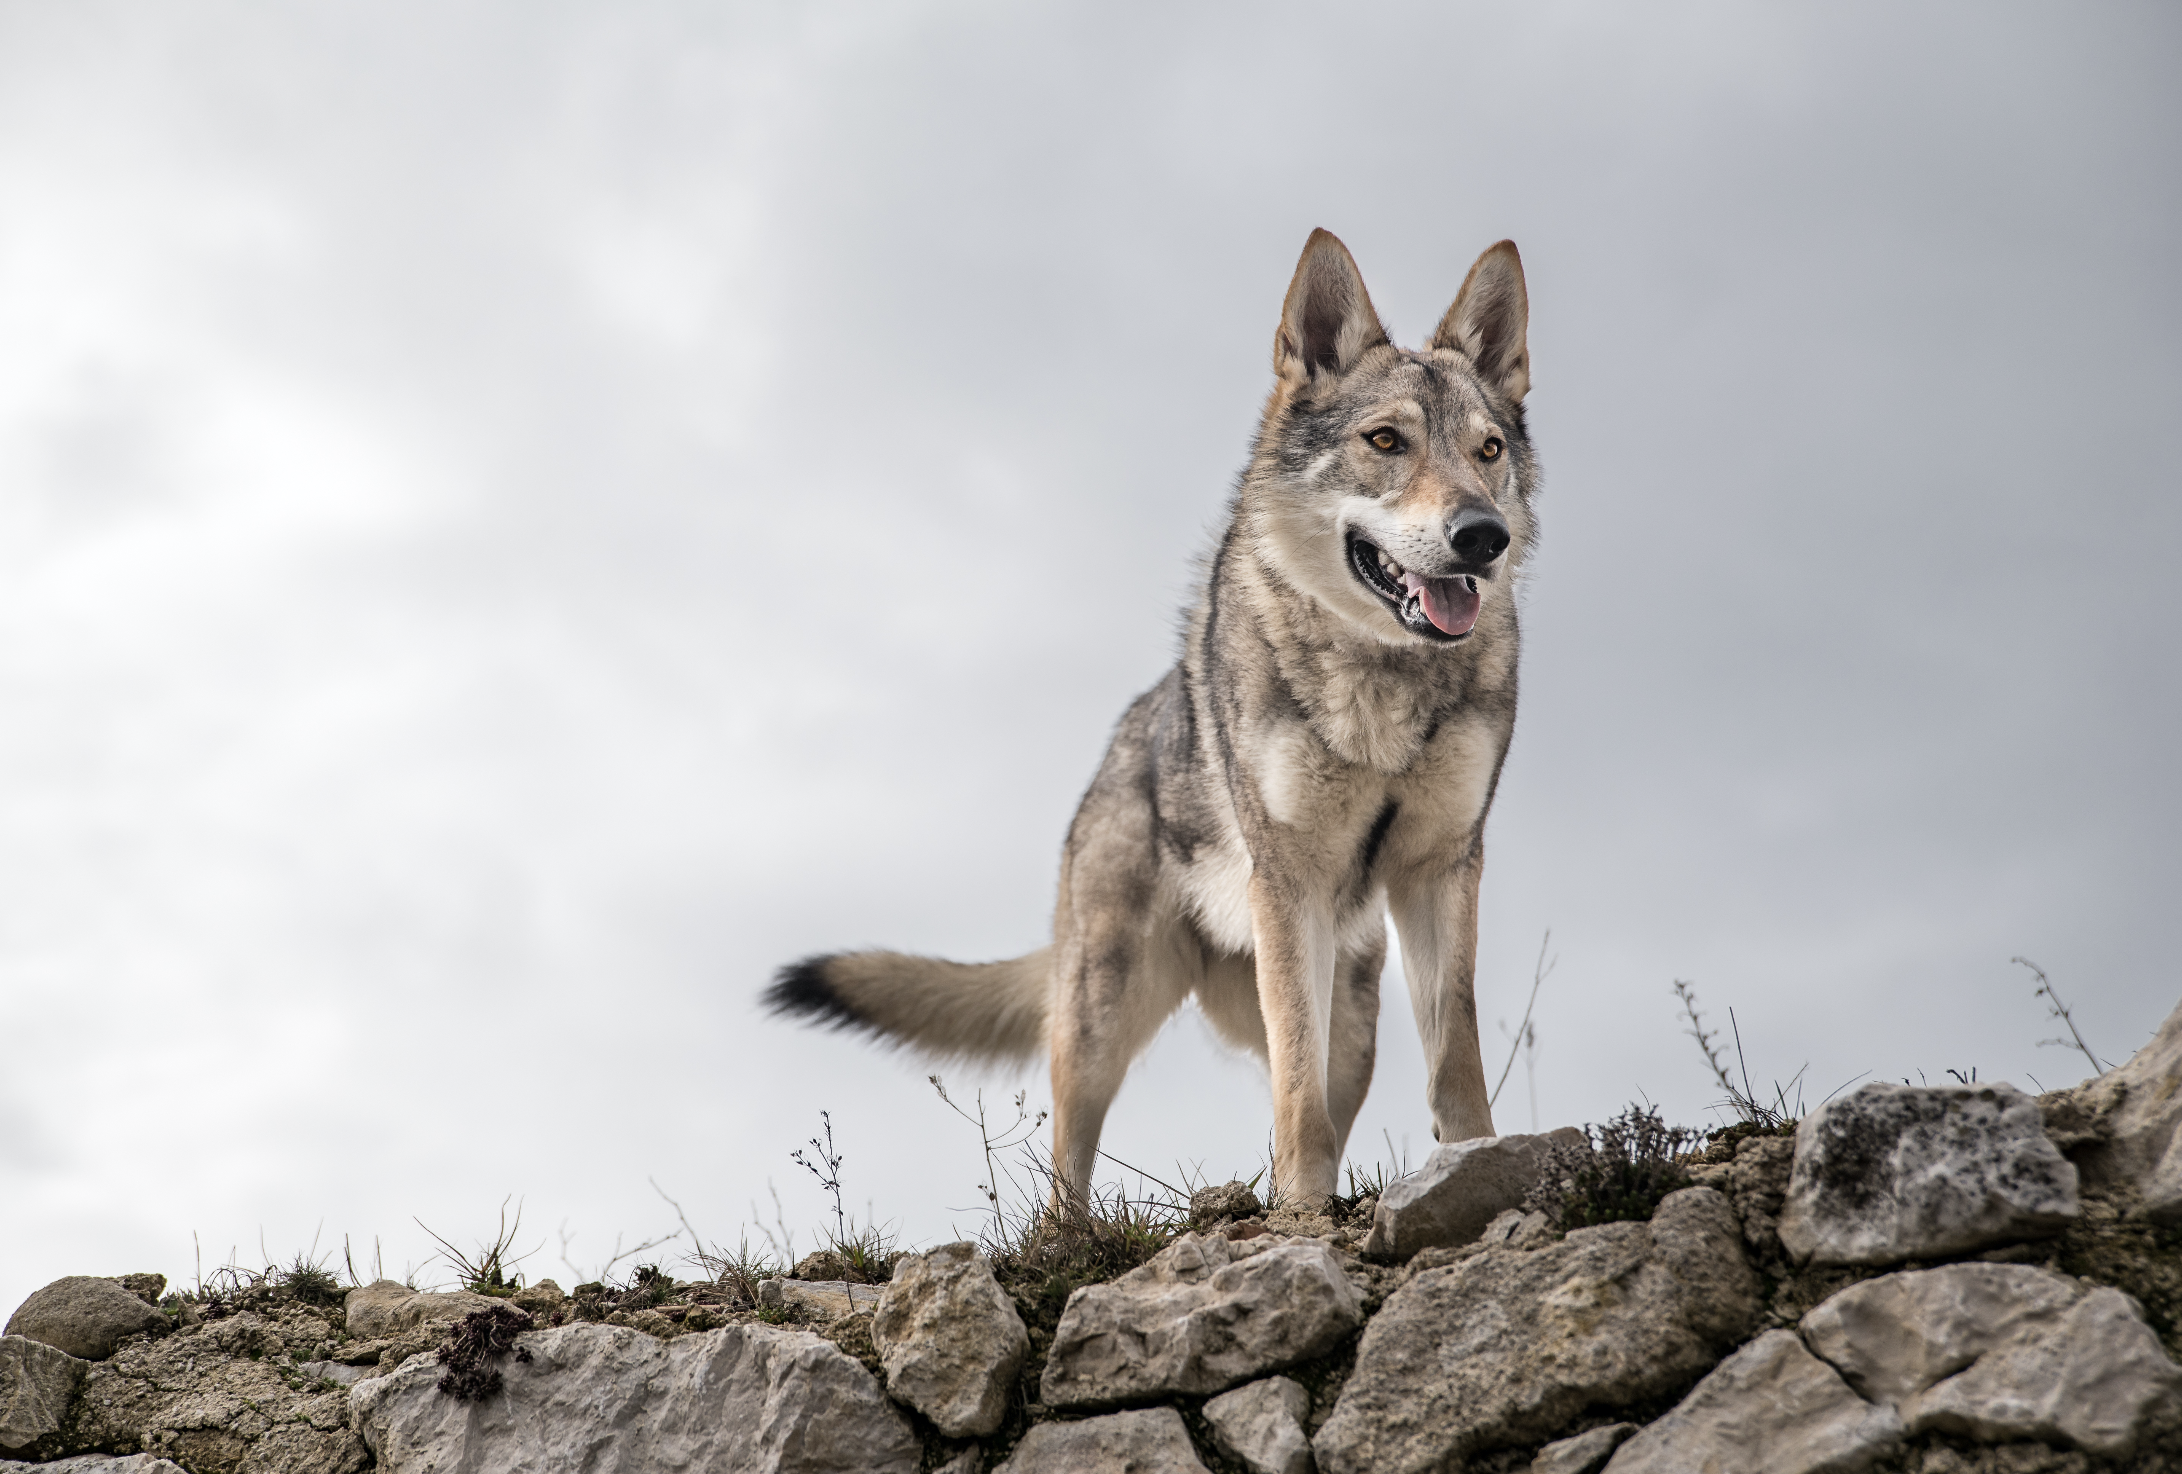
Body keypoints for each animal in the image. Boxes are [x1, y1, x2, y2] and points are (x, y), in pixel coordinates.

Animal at [768, 230, 1536, 1212]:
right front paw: (1303, 1214)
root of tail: (1115, 747)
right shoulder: (1290, 882)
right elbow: (1298, 1092)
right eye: (1385, 440)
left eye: (1487, 450)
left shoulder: (1442, 869)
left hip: (1353, 1019)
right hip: (1103, 1015)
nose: (1483, 536)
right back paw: (1080, 1236)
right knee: (1071, 1166)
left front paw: (1478, 1168)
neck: (1383, 684)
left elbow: (1455, 1060)